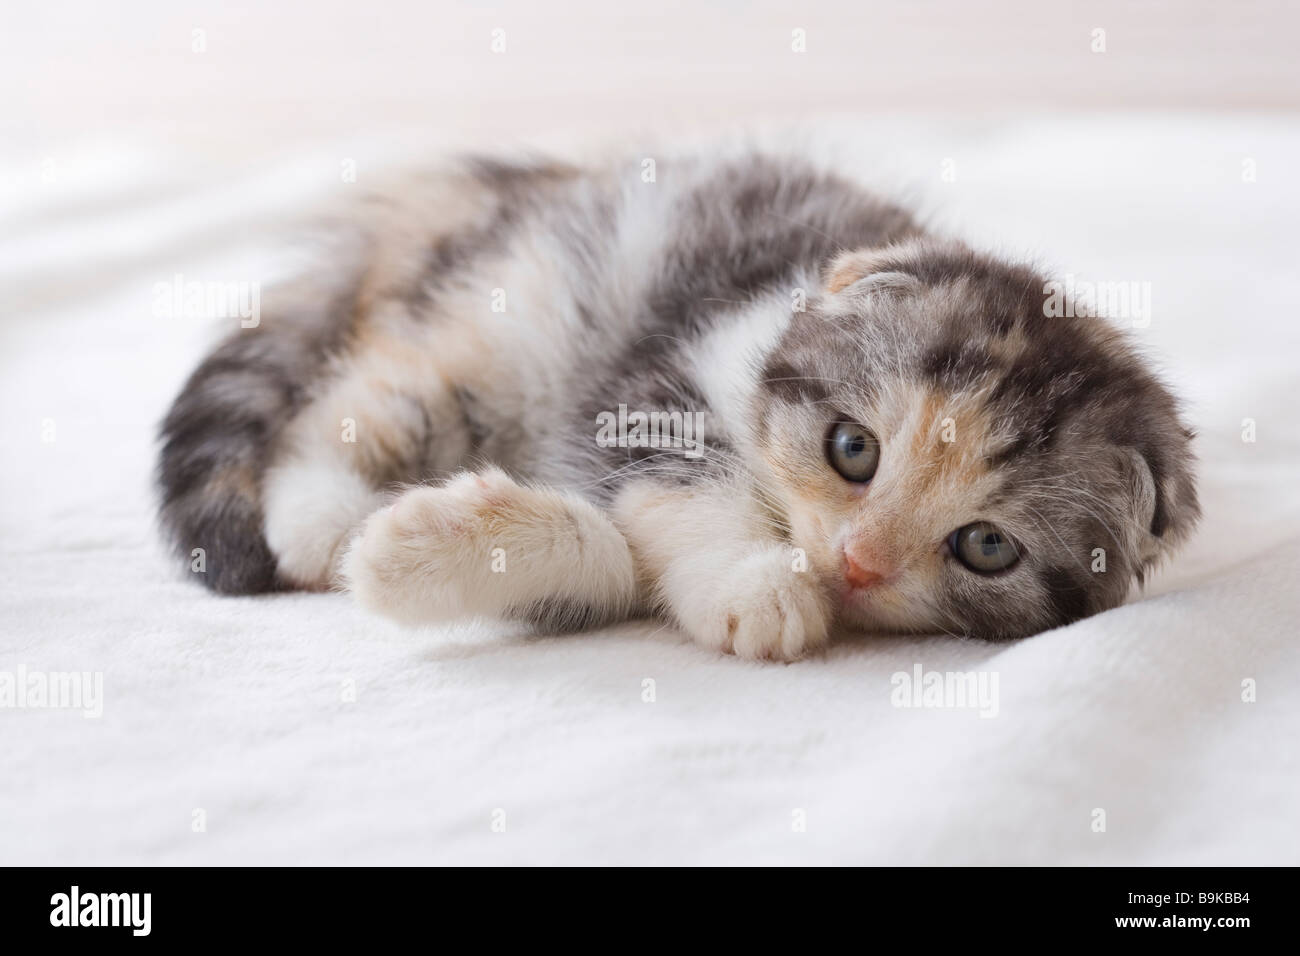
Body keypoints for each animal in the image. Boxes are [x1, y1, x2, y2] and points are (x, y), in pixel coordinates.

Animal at [157, 151, 1201, 658]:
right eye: (852, 449)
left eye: (986, 546)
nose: (857, 564)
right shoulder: (662, 376)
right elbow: (675, 495)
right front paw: (758, 584)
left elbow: (618, 563)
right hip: (522, 318)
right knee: (361, 403)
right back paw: (323, 522)